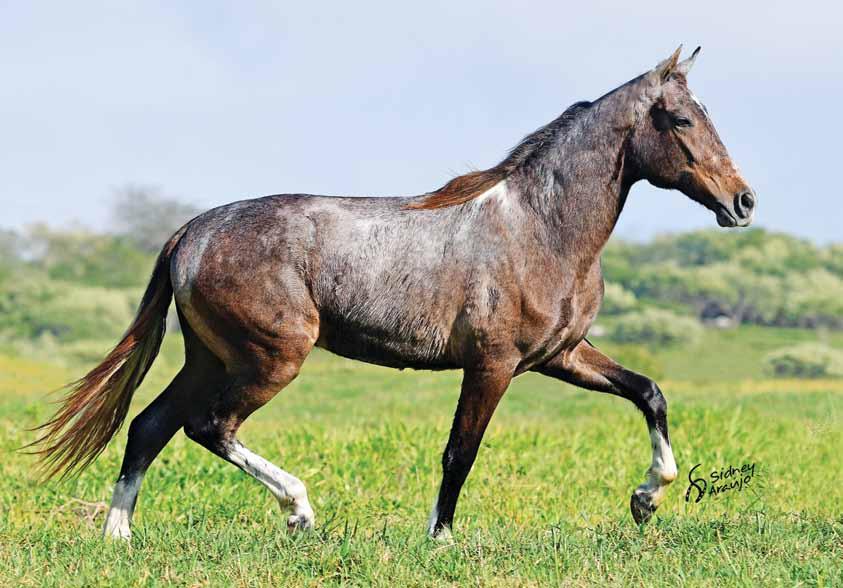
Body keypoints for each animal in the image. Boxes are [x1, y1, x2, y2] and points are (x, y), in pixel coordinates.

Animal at [33, 48, 760, 540]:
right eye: (679, 120)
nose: (742, 201)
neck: (539, 228)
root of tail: (194, 231)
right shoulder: (493, 364)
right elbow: (460, 451)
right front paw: (440, 540)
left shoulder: (561, 355)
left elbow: (648, 393)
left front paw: (647, 498)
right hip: (270, 359)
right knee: (207, 426)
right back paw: (299, 511)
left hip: (211, 357)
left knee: (150, 425)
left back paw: (119, 536)